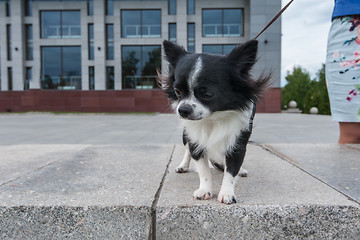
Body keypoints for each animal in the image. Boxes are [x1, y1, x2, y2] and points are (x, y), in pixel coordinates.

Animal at [159, 39, 268, 204]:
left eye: (207, 94)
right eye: (177, 92)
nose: (183, 109)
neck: (213, 118)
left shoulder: (237, 144)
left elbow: (231, 171)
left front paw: (227, 193)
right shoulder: (196, 141)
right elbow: (203, 170)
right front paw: (204, 190)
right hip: (186, 134)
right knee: (186, 150)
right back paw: (183, 166)